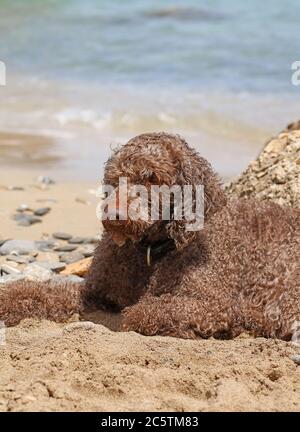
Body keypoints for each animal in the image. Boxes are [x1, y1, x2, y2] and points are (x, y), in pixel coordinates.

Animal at [0, 132, 300, 340]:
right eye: (116, 177)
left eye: (152, 177)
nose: (114, 213)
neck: (149, 251)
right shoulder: (93, 291)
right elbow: (43, 291)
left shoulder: (211, 304)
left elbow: (144, 311)